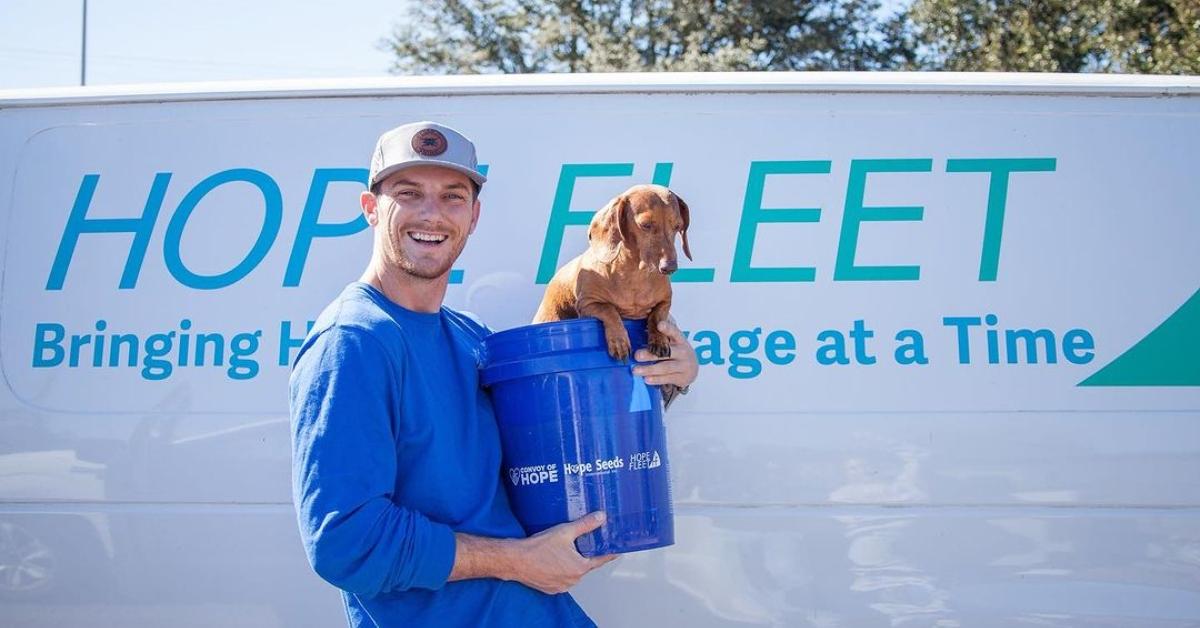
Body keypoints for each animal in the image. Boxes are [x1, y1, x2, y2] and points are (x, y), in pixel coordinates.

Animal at [532, 184, 691, 360]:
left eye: (677, 227)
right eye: (645, 225)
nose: (670, 267)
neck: (636, 276)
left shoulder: (665, 301)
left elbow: (657, 316)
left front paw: (659, 339)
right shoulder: (588, 303)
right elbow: (609, 310)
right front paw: (618, 340)